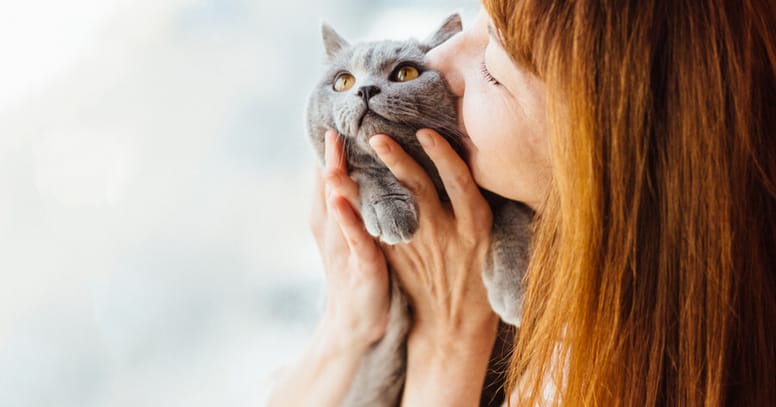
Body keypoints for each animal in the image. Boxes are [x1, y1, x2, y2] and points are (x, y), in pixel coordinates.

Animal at [304, 13, 532, 407]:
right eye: (343, 81)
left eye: (405, 73)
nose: (365, 90)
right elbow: (365, 169)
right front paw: (390, 212)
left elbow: (511, 212)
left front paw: (512, 289)